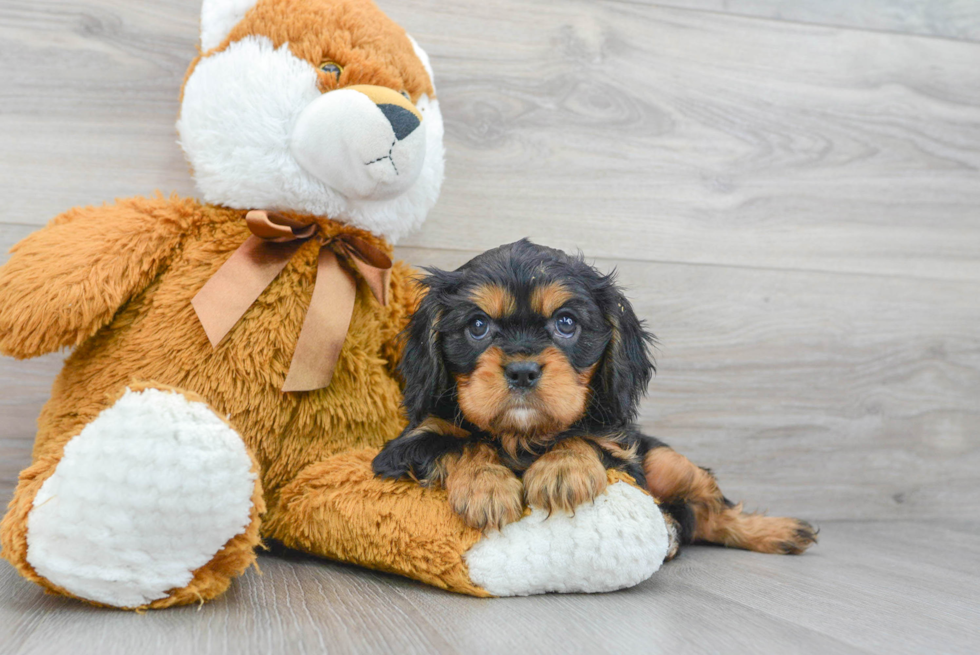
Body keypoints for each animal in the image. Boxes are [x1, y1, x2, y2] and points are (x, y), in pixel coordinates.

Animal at [372, 241, 816, 560]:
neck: (521, 436)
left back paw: (778, 532)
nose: (522, 371)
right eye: (477, 326)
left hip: (666, 463)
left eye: (566, 323)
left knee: (712, 512)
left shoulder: (623, 454)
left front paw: (562, 470)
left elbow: (584, 438)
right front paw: (488, 488)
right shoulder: (403, 447)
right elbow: (457, 442)